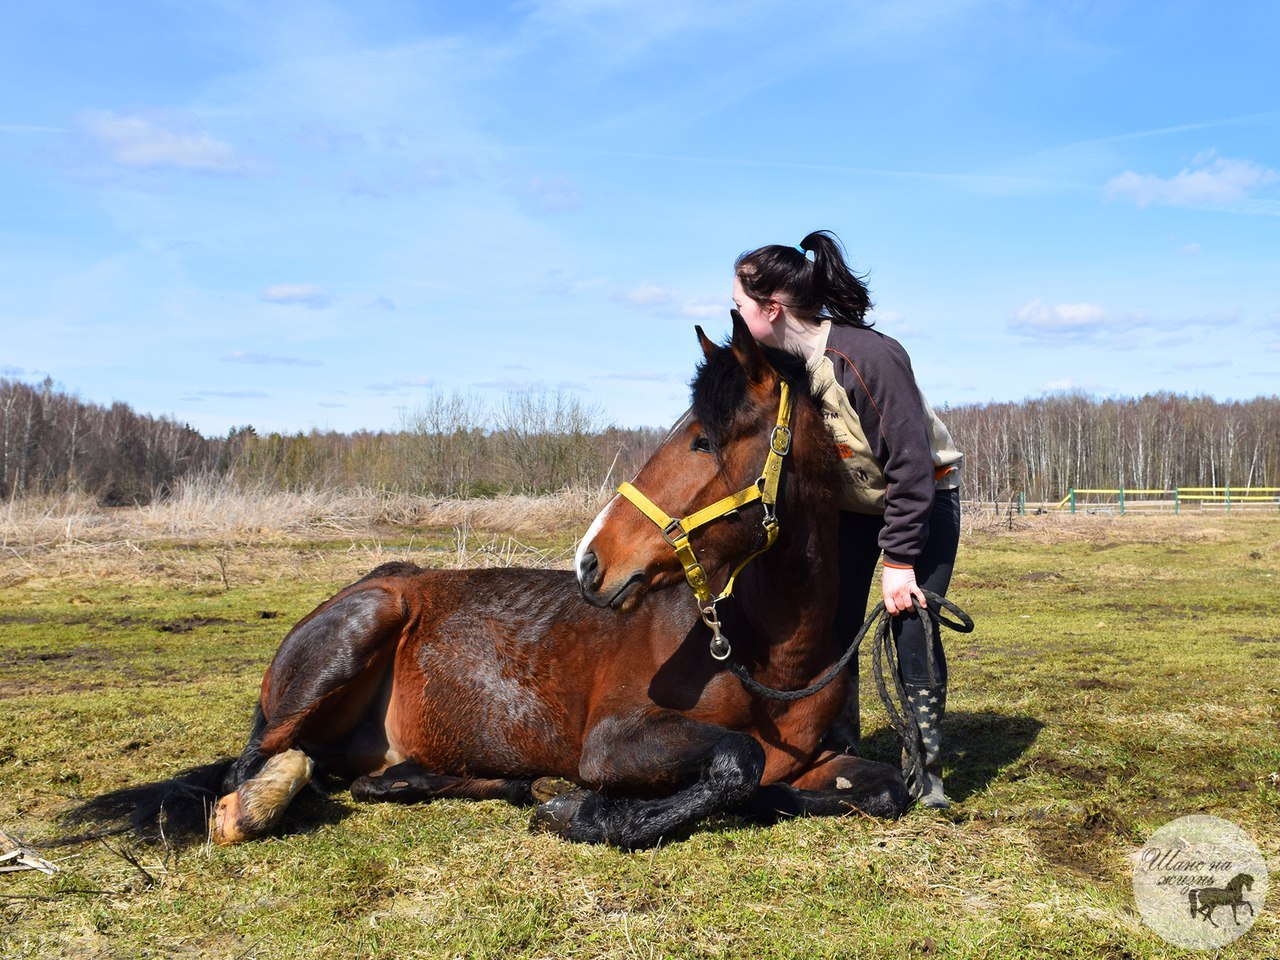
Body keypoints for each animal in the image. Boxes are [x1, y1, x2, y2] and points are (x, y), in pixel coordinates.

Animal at [72, 320, 911, 855]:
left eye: (704, 440)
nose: (592, 563)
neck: (767, 657)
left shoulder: (821, 759)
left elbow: (882, 788)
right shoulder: (615, 742)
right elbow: (737, 764)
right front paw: (584, 810)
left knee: (358, 778)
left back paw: (448, 782)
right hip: (360, 627)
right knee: (250, 771)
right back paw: (259, 801)